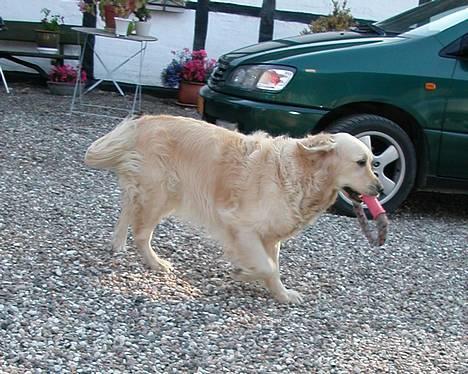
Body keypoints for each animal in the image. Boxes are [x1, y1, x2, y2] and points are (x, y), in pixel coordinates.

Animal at [86, 114, 382, 304]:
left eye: (373, 162)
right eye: (360, 162)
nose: (379, 189)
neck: (302, 172)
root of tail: (141, 122)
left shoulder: (270, 236)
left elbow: (272, 267)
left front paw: (282, 294)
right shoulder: (241, 226)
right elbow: (267, 267)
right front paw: (243, 273)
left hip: (152, 191)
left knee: (127, 209)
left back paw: (118, 244)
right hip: (161, 193)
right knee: (141, 232)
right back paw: (155, 262)